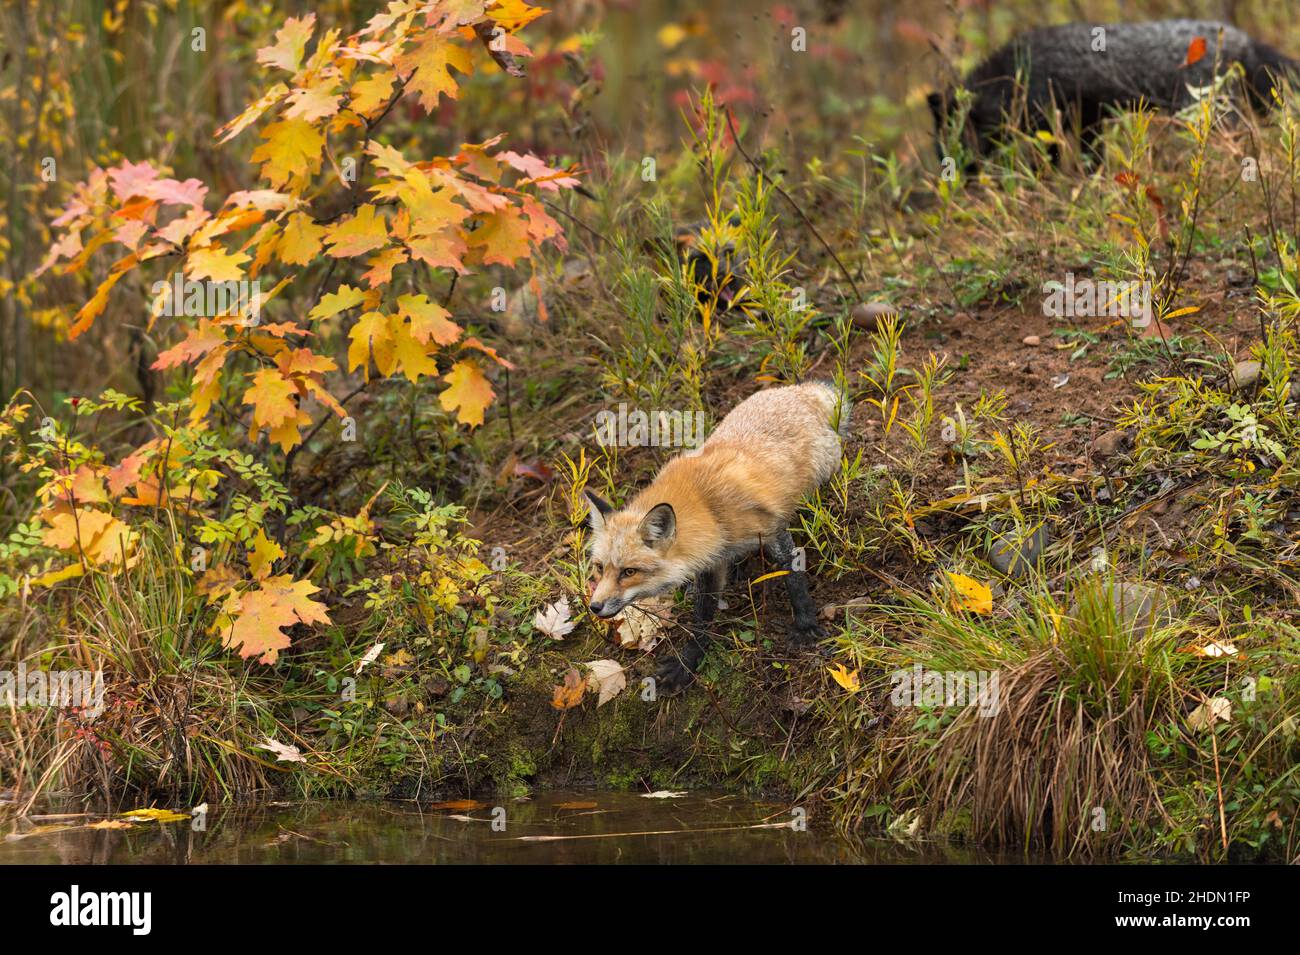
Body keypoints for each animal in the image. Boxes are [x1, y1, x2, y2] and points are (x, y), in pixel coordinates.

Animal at [584, 381, 849, 693]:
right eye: (600, 568)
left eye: (629, 572)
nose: (594, 606)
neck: (709, 506)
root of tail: (799, 390)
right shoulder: (710, 561)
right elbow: (702, 614)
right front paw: (689, 661)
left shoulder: (773, 531)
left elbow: (794, 579)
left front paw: (805, 624)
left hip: (822, 473)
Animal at [928, 19, 1299, 161]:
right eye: (939, 146)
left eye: (960, 137)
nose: (960, 176)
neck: (1014, 71)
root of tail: (1242, 38)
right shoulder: (1089, 119)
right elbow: (1091, 160)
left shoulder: (1048, 120)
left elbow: (1049, 163)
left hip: (1212, 111)